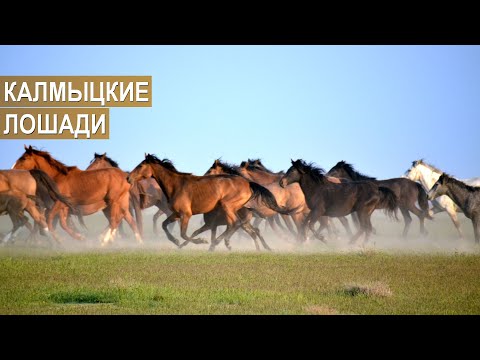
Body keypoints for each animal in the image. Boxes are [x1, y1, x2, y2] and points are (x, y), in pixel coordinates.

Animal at [12, 146, 141, 245]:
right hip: (121, 203)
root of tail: (126, 177)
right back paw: (139, 243)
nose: (13, 168)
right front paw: (78, 238)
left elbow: (50, 219)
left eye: (23, 158)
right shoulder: (64, 207)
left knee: (115, 221)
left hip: (113, 202)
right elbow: (62, 224)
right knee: (129, 220)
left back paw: (103, 242)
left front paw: (63, 240)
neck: (58, 177)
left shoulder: (59, 203)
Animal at [125, 154, 288, 250]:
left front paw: (200, 242)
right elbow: (165, 225)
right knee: (242, 227)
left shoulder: (186, 214)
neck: (176, 185)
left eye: (140, 165)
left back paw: (226, 243)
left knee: (234, 224)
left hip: (228, 206)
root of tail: (248, 183)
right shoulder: (177, 214)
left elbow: (185, 233)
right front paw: (176, 242)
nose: (128, 178)